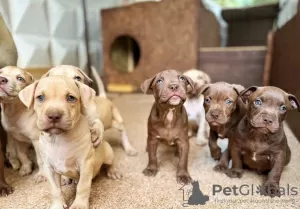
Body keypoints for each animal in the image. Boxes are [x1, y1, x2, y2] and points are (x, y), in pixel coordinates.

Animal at [17, 76, 119, 209]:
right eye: (40, 97)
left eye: (71, 98)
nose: (54, 115)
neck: (58, 139)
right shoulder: (49, 169)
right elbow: (55, 190)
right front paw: (57, 205)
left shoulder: (85, 165)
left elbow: (82, 187)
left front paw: (79, 205)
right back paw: (67, 179)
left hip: (108, 154)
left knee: (111, 162)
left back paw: (113, 171)